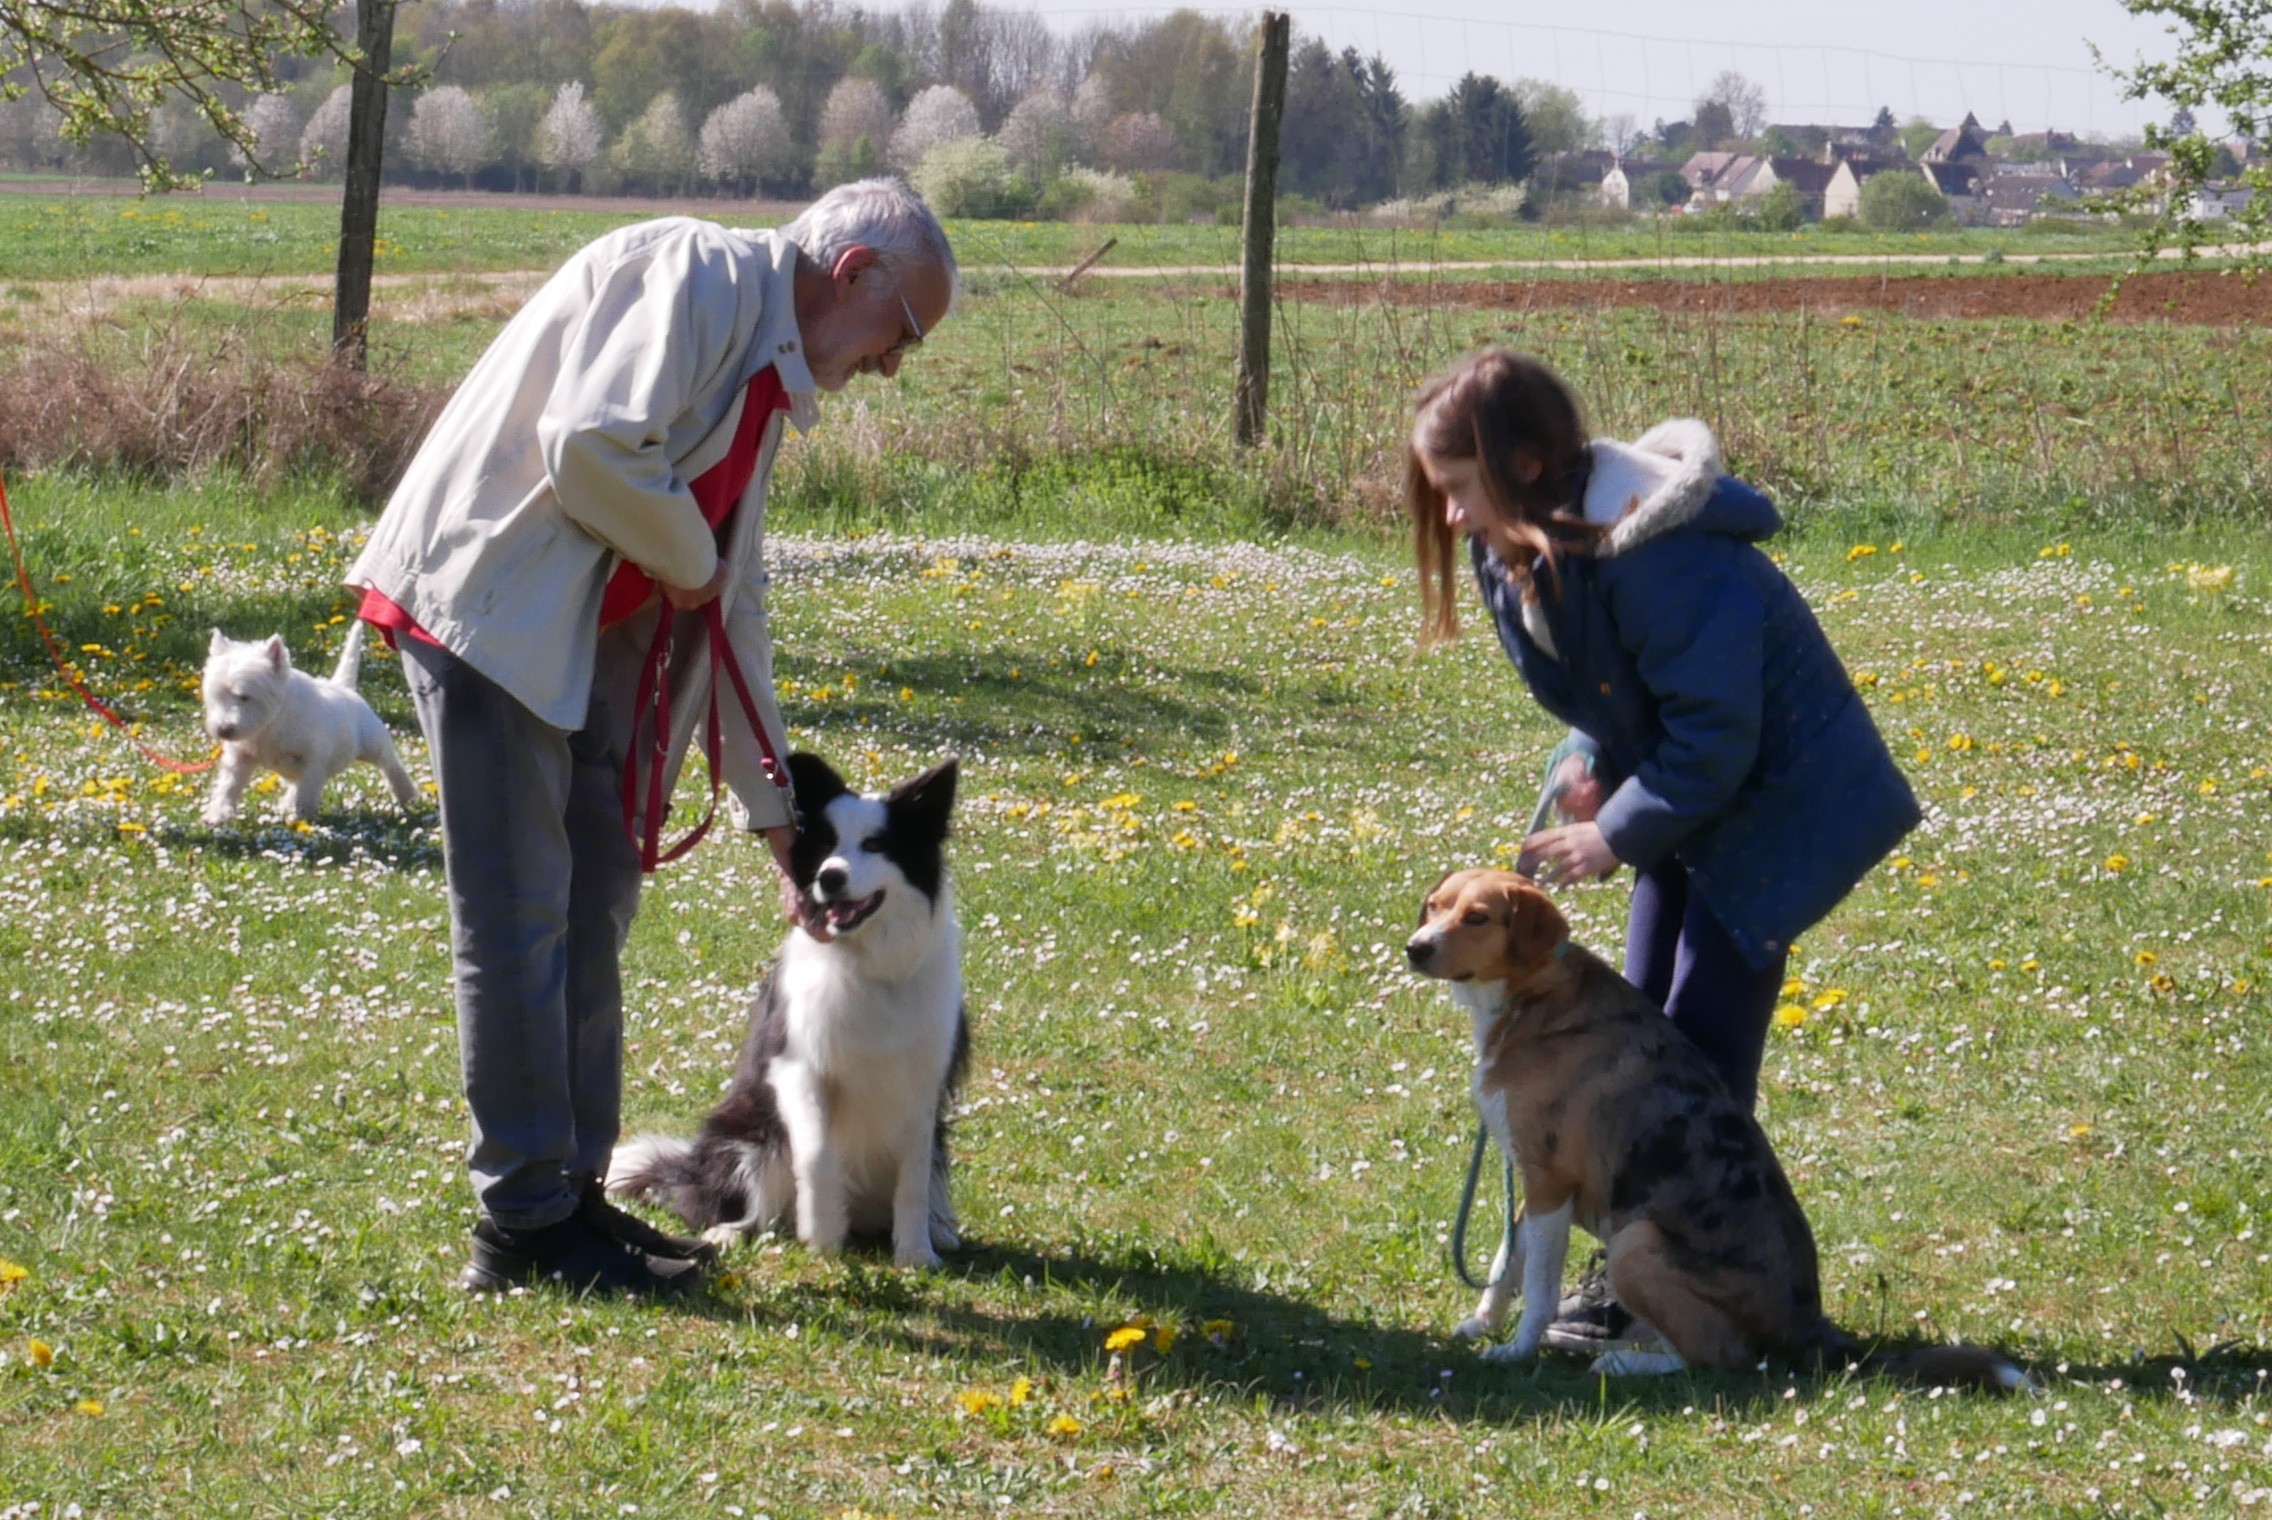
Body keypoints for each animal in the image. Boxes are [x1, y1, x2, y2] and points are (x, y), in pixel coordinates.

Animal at [199, 617, 422, 822]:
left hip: (372, 742)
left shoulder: (313, 758)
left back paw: (407, 794)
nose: (223, 730)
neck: (271, 724)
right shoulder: (240, 755)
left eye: (244, 696)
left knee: (390, 763)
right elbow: (228, 784)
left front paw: (302, 818)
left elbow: (306, 790)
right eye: (216, 696)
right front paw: (218, 814)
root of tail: (344, 687)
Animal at [1399, 863, 2026, 1390]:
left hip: (1636, 1243)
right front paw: (1481, 1325)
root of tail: (1814, 1328)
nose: (1415, 948)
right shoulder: (1533, 1183)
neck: (1530, 999)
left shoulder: (1551, 1181)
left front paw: (1517, 1351)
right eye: (1435, 907)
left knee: (1720, 1358)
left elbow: (1538, 1287)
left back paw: (1623, 1362)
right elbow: (1507, 1265)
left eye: (1477, 918)